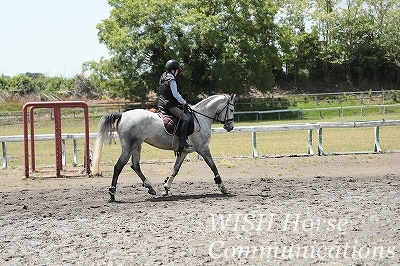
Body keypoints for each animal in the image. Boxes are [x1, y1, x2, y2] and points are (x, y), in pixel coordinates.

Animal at [91, 94, 234, 202]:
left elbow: (175, 170)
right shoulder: (203, 149)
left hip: (137, 146)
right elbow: (213, 167)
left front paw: (166, 188)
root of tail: (122, 115)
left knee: (135, 165)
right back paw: (112, 194)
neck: (201, 117)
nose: (230, 127)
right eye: (232, 110)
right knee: (118, 167)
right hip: (130, 146)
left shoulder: (183, 152)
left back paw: (150, 188)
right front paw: (223, 187)